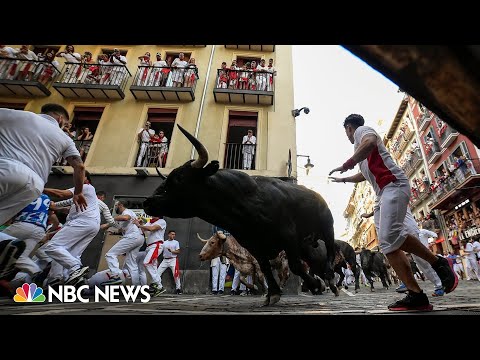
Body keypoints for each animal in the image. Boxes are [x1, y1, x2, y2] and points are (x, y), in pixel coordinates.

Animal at [142, 125, 338, 306]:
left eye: (179, 178)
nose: (147, 202)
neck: (245, 204)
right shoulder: (255, 246)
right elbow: (266, 269)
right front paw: (273, 294)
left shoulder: (287, 237)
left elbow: (295, 266)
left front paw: (314, 285)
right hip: (305, 244)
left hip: (327, 228)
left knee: (330, 252)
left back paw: (330, 280)